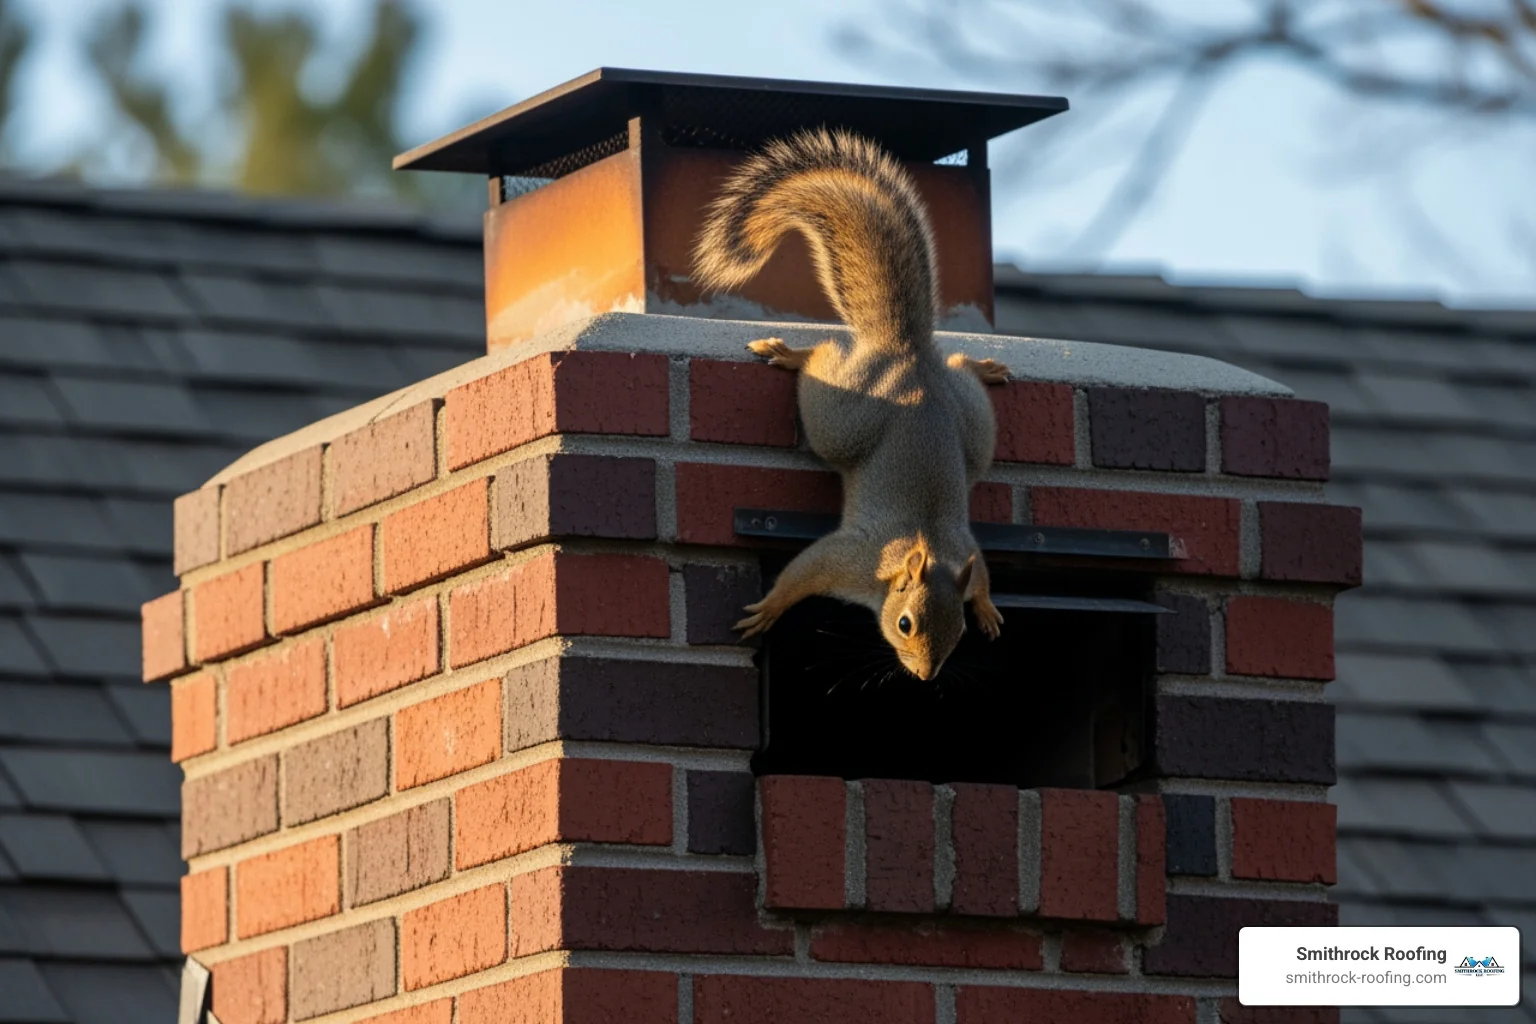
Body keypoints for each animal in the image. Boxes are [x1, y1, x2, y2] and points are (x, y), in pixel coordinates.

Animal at [691, 128, 1010, 681]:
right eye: (904, 624)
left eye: (959, 632)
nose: (926, 676)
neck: (927, 550)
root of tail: (907, 355)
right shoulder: (853, 558)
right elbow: (804, 570)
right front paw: (769, 609)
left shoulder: (965, 553)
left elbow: (982, 574)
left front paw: (987, 606)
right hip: (840, 418)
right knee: (822, 360)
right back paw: (792, 353)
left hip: (974, 425)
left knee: (960, 369)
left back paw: (982, 366)